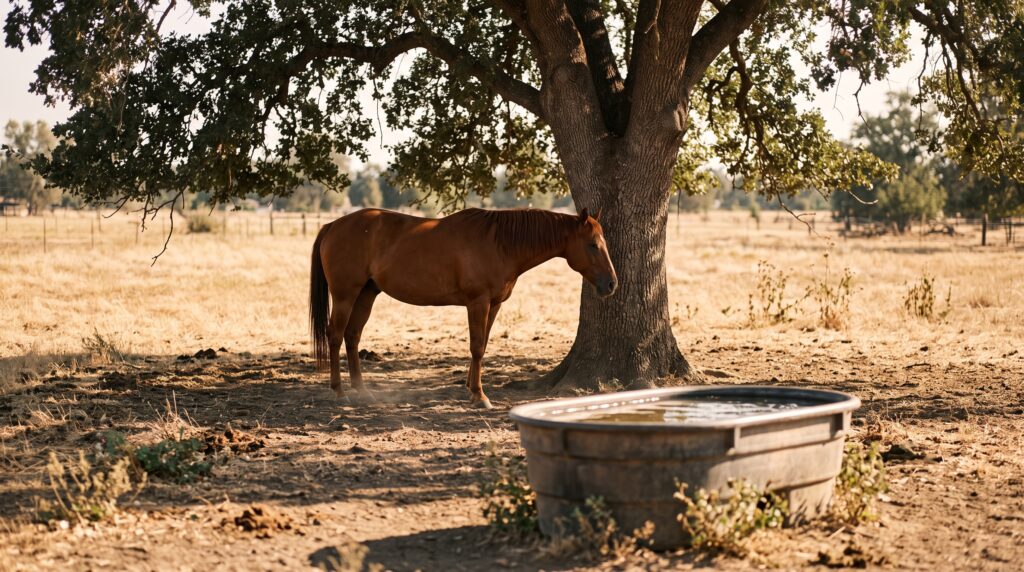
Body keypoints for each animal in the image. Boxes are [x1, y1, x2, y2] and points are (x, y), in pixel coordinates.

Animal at [309, 207, 617, 409]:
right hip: (345, 295)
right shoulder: (477, 302)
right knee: (335, 335)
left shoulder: (493, 305)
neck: (500, 243)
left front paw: (472, 389)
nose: (611, 284)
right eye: (592, 245)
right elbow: (477, 346)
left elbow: (482, 345)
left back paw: (362, 391)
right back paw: (339, 392)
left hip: (366, 294)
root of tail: (332, 225)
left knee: (352, 336)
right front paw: (480, 396)